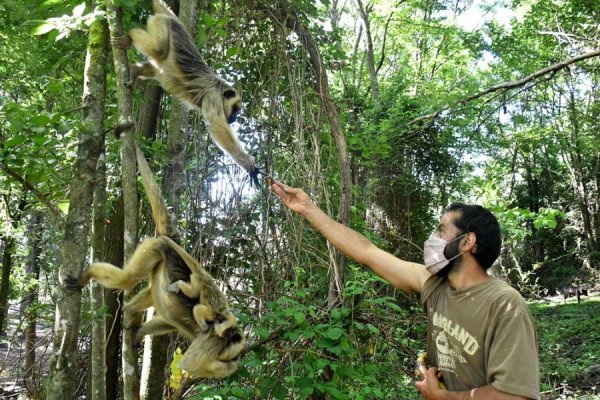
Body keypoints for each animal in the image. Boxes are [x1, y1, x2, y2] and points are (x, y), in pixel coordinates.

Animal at [69, 144, 246, 378]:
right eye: (229, 353)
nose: (234, 358)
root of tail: (173, 241)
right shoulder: (212, 342)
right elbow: (191, 363)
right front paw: (231, 368)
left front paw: (140, 332)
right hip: (154, 247)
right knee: (128, 279)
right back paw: (88, 274)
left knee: (157, 299)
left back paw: (130, 312)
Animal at [115, 0, 260, 185]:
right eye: (235, 109)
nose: (234, 118)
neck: (220, 88)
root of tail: (177, 24)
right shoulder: (212, 95)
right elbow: (217, 125)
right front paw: (248, 163)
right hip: (162, 24)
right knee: (159, 49)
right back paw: (130, 35)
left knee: (157, 65)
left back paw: (134, 71)